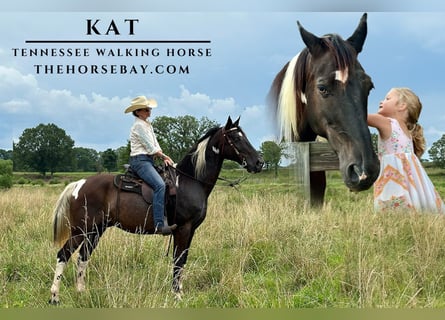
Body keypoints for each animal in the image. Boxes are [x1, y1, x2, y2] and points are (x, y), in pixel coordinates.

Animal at [48, 116, 262, 304]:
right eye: (235, 138)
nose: (259, 163)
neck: (190, 180)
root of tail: (79, 184)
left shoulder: (191, 230)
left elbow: (183, 259)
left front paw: (179, 291)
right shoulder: (183, 229)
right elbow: (178, 261)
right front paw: (177, 295)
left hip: (95, 231)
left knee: (82, 257)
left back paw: (81, 292)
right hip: (80, 230)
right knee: (63, 254)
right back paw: (54, 297)